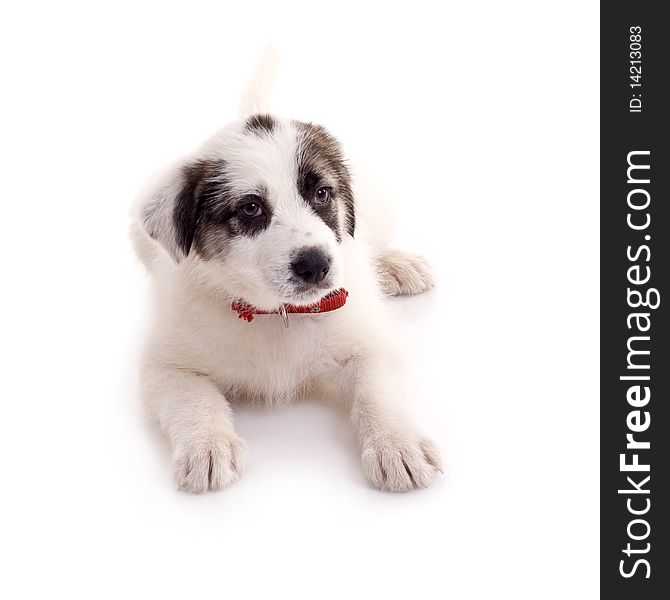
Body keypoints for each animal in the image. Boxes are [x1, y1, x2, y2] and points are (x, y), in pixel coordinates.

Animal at [133, 51, 444, 492]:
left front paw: (397, 443)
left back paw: (395, 266)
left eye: (322, 194)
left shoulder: (372, 344)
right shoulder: (165, 365)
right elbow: (193, 399)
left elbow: (377, 391)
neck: (277, 314)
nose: (316, 263)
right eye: (250, 208)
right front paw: (208, 445)